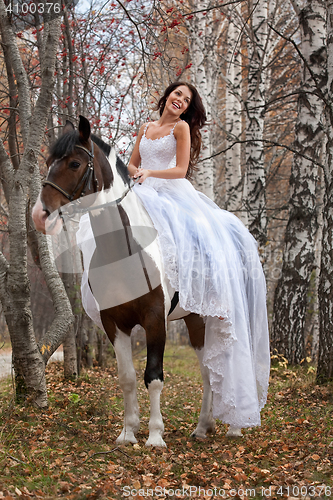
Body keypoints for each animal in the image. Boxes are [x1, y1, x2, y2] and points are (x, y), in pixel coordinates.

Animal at [33, 116, 241, 446]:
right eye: (50, 162)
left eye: (75, 163)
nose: (39, 215)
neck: (123, 251)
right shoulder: (114, 323)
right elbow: (127, 378)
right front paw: (128, 432)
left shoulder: (155, 320)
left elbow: (153, 377)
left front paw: (155, 436)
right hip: (195, 318)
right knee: (207, 369)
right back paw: (203, 427)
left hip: (219, 315)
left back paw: (234, 427)